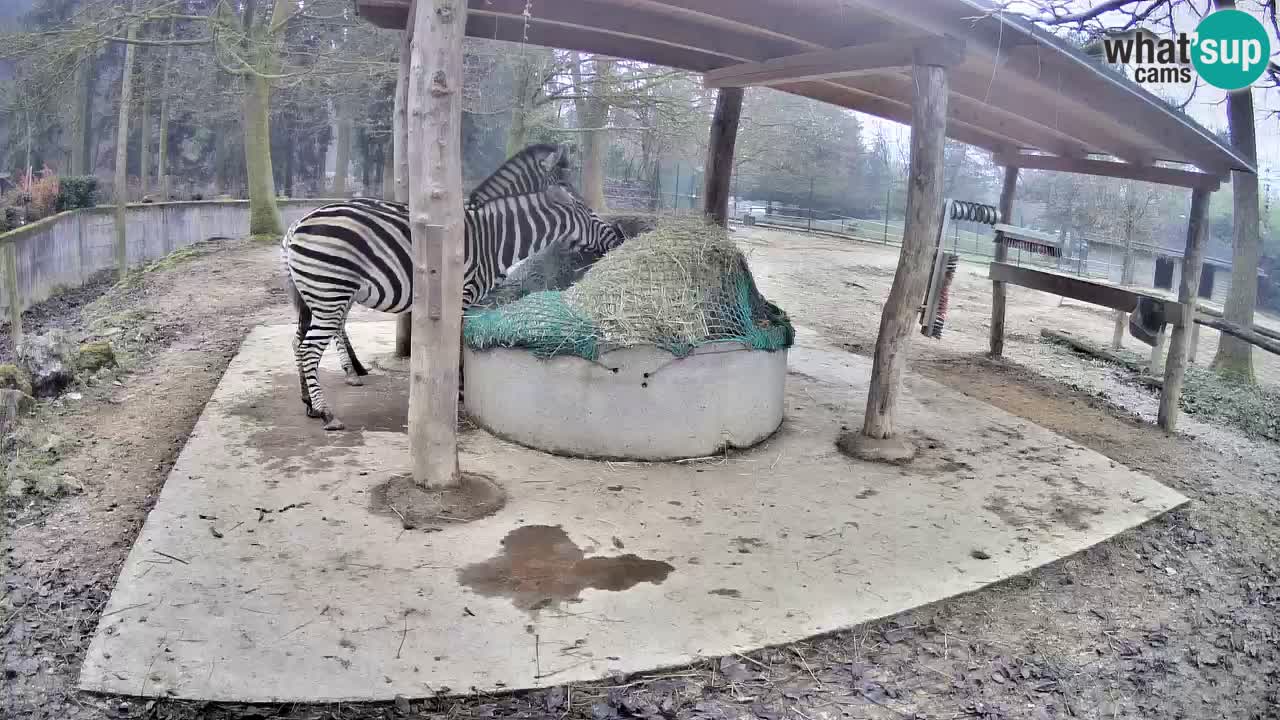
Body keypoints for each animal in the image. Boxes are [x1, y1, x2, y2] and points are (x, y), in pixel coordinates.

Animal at [282, 144, 626, 431]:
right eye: (589, 210)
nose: (620, 237)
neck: (492, 237)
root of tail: (296, 225)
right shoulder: (463, 295)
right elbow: (459, 345)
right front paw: (459, 389)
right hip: (331, 292)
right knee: (310, 347)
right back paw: (327, 411)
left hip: (321, 294)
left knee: (299, 341)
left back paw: (311, 402)